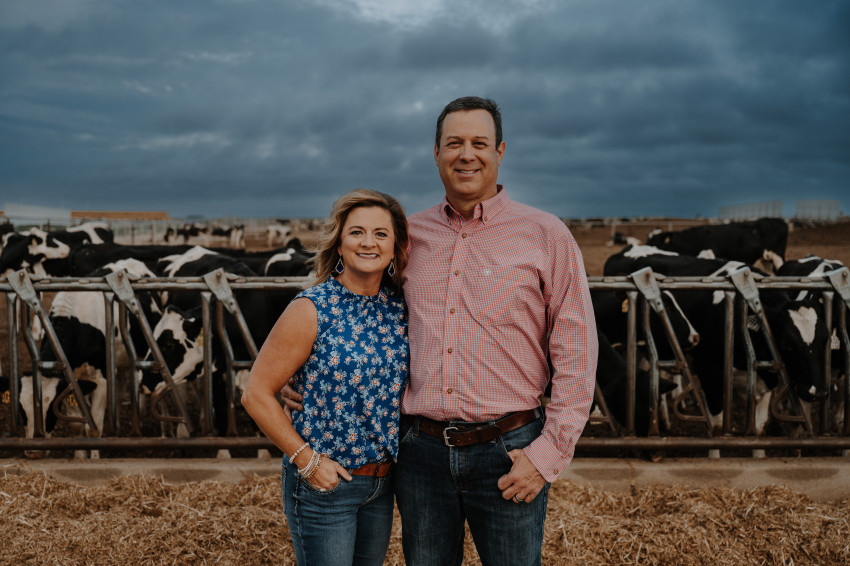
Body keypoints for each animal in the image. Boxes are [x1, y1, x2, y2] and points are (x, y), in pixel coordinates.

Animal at [604, 244, 828, 434]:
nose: (816, 392)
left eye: (824, 340)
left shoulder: (765, 381)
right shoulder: (710, 372)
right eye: (787, 344)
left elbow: (758, 427)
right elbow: (718, 426)